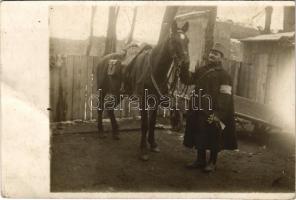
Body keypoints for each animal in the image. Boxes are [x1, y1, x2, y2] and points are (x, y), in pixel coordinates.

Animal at [96, 20, 191, 161]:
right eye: (174, 41)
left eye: (187, 41)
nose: (185, 64)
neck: (154, 69)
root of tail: (102, 59)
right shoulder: (143, 101)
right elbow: (145, 124)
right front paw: (143, 150)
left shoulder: (156, 101)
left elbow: (152, 123)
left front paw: (153, 144)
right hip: (102, 90)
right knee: (100, 108)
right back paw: (101, 132)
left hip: (119, 93)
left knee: (109, 107)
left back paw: (116, 133)